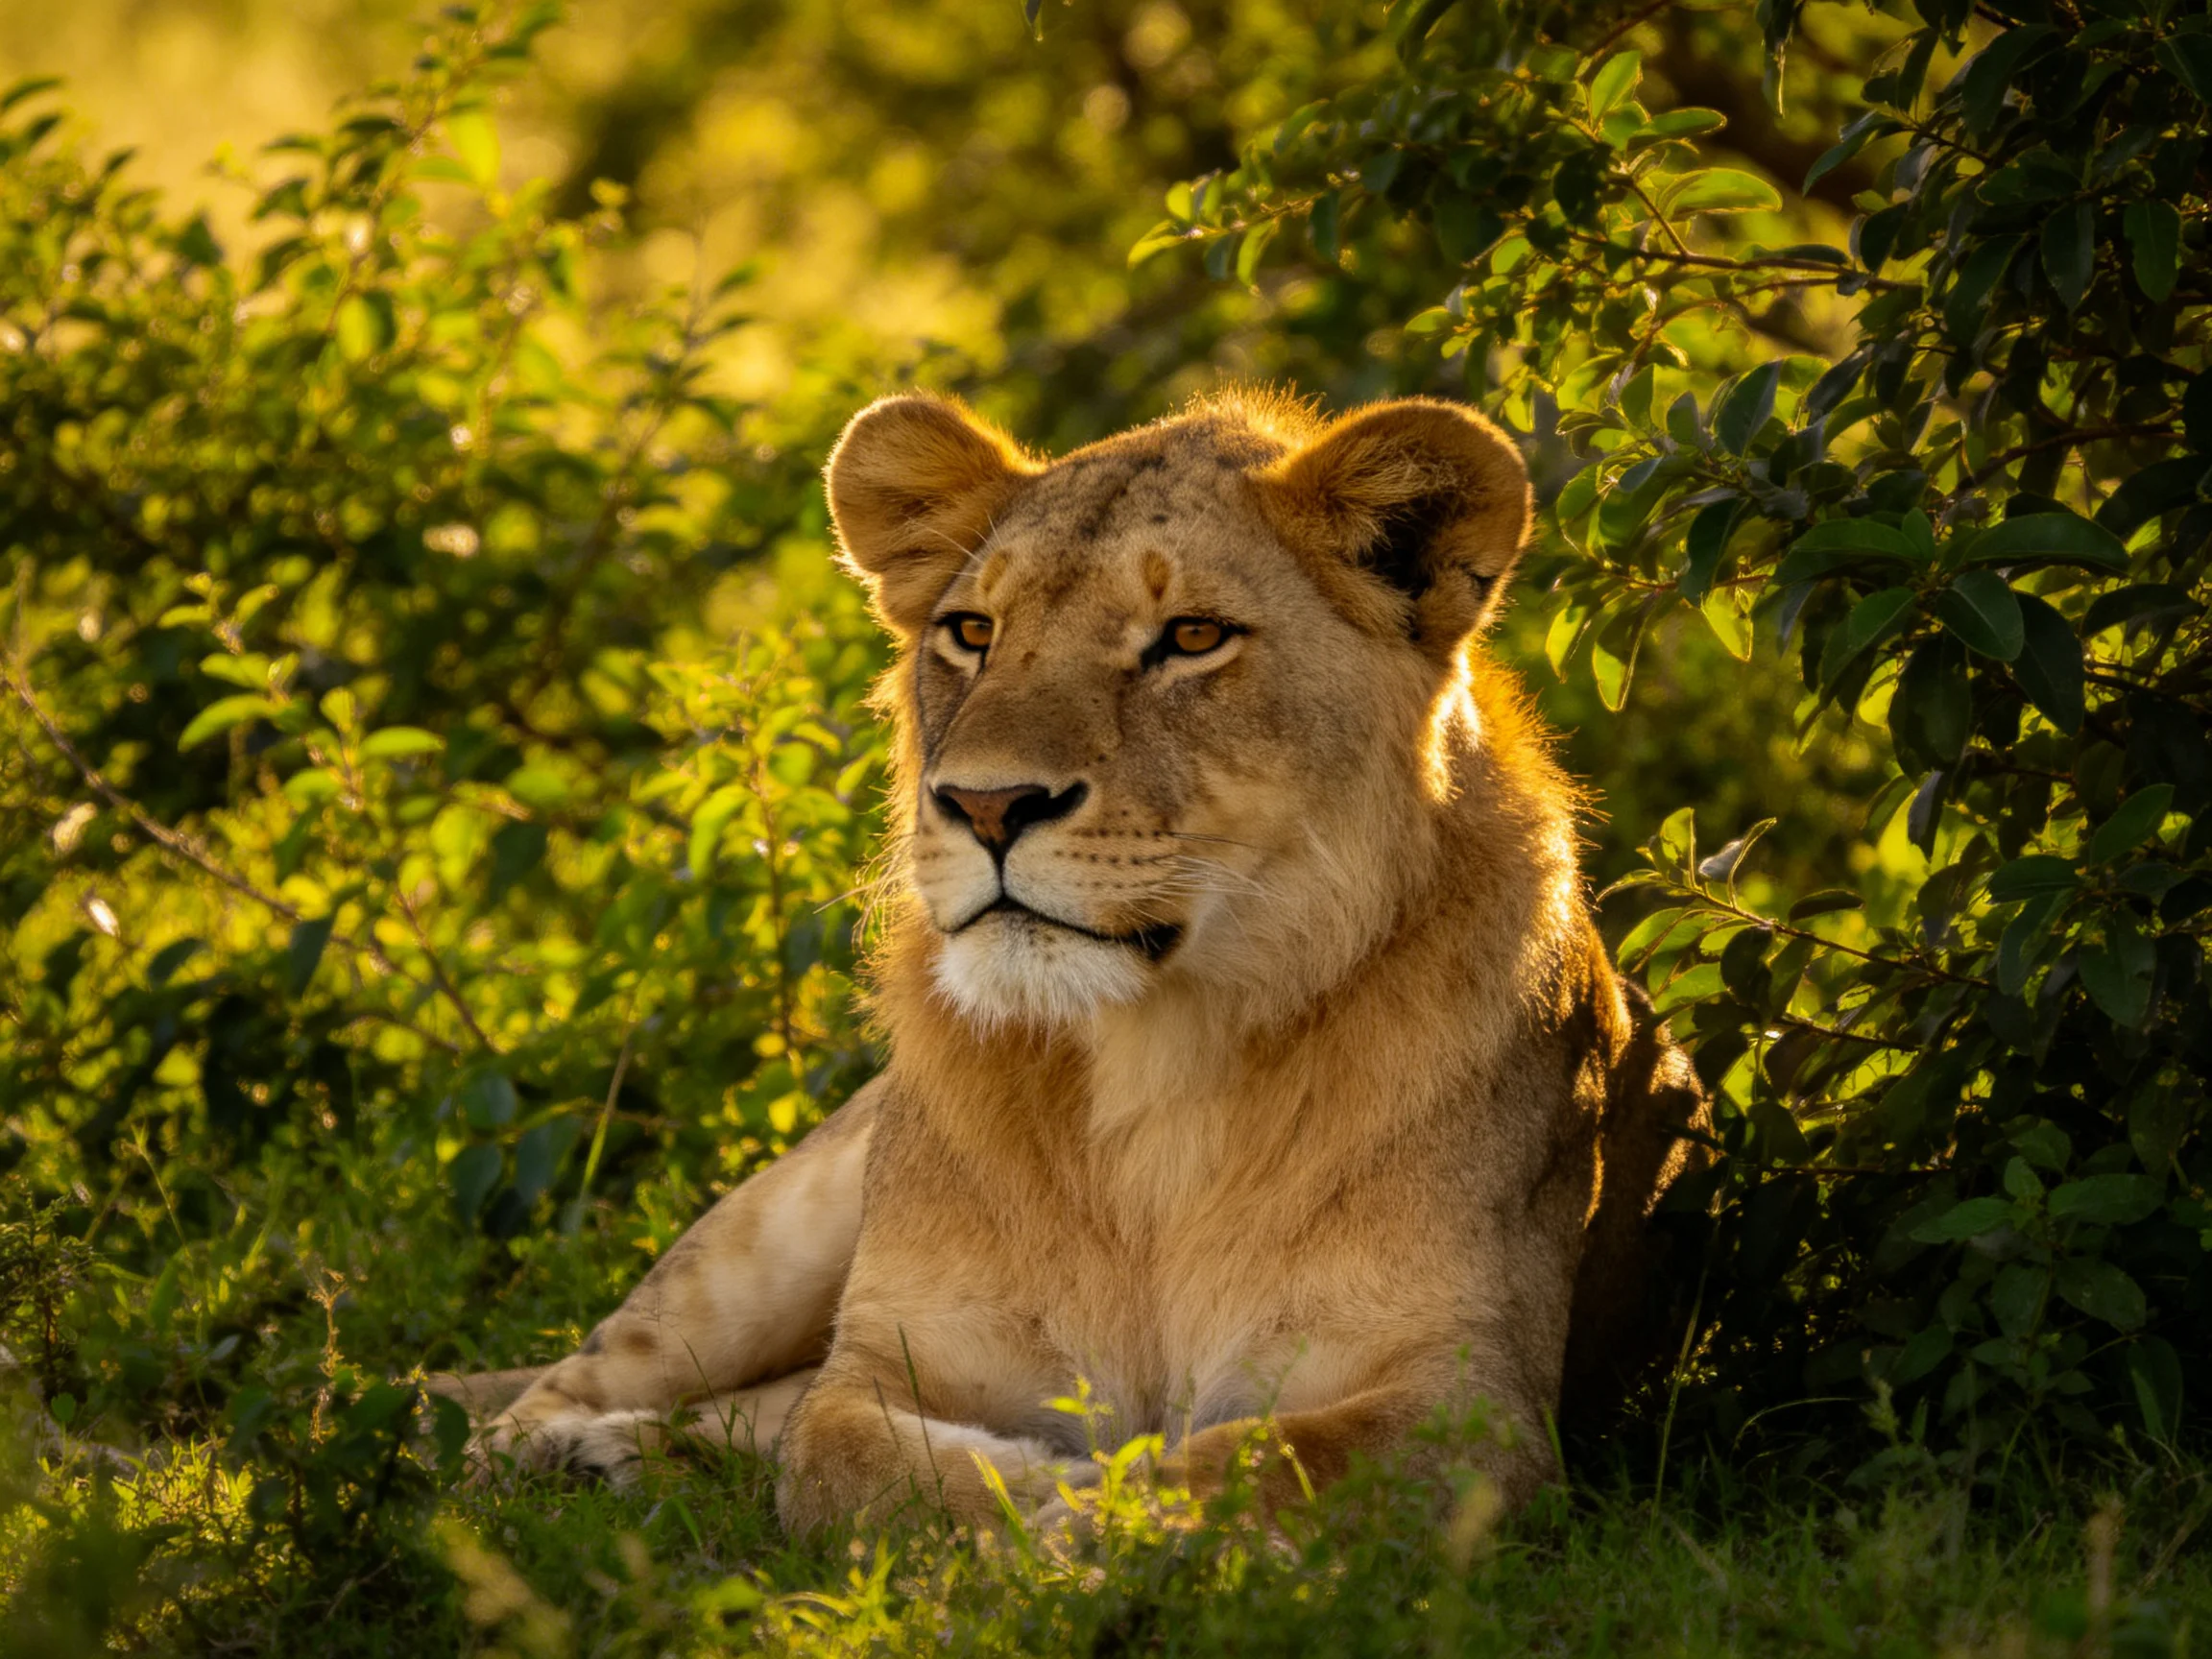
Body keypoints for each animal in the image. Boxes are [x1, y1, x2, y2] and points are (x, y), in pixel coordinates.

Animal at [454, 390, 1705, 1532]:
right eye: (972, 632)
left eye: (1192, 637)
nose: (986, 804)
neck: (1151, 1072)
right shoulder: (888, 1362)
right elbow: (855, 1460)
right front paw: (1054, 1517)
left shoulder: (1473, 1402)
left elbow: (1250, 1463)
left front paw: (1109, 1523)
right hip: (763, 1241)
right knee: (566, 1394)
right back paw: (553, 1461)